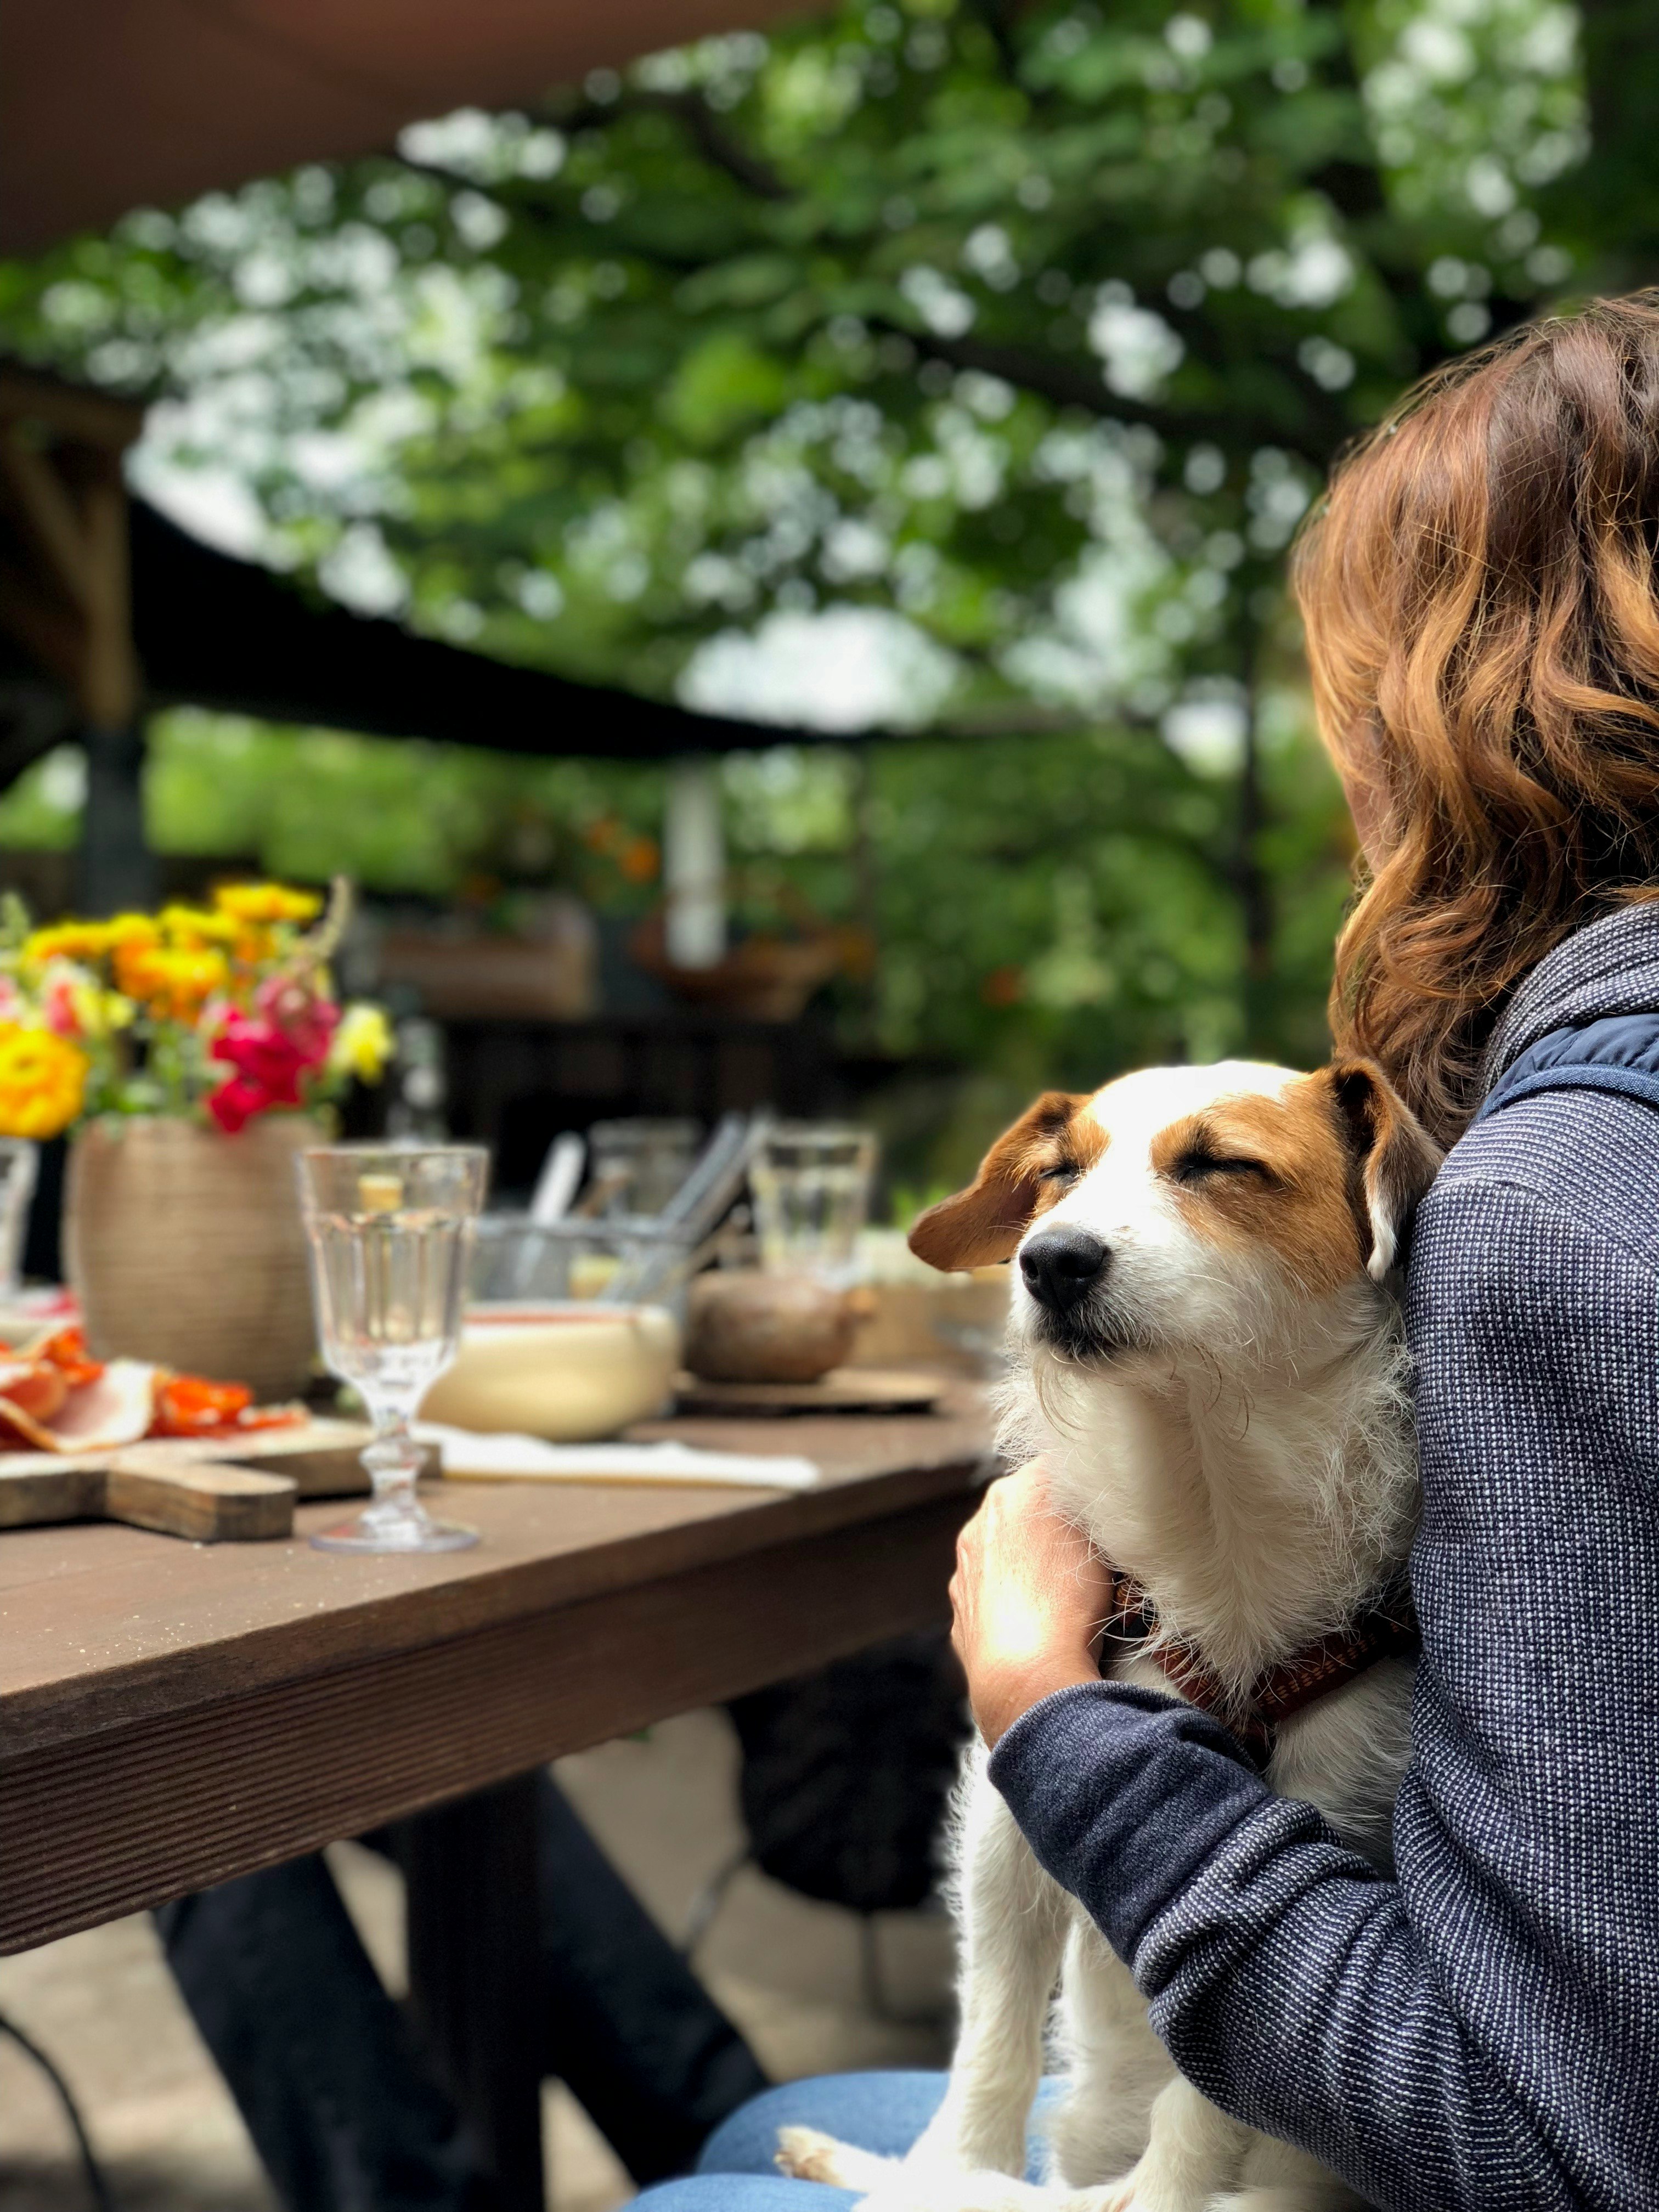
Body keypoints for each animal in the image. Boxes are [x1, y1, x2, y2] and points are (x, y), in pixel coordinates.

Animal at [778, 1053, 1442, 2212]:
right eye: (1058, 1173)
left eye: (1221, 1163)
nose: (1048, 1259)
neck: (1205, 1487)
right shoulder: (1006, 1816)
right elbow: (990, 2033)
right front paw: (950, 2159)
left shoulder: (1325, 1821)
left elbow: (1207, 2099)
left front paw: (1159, 2183)